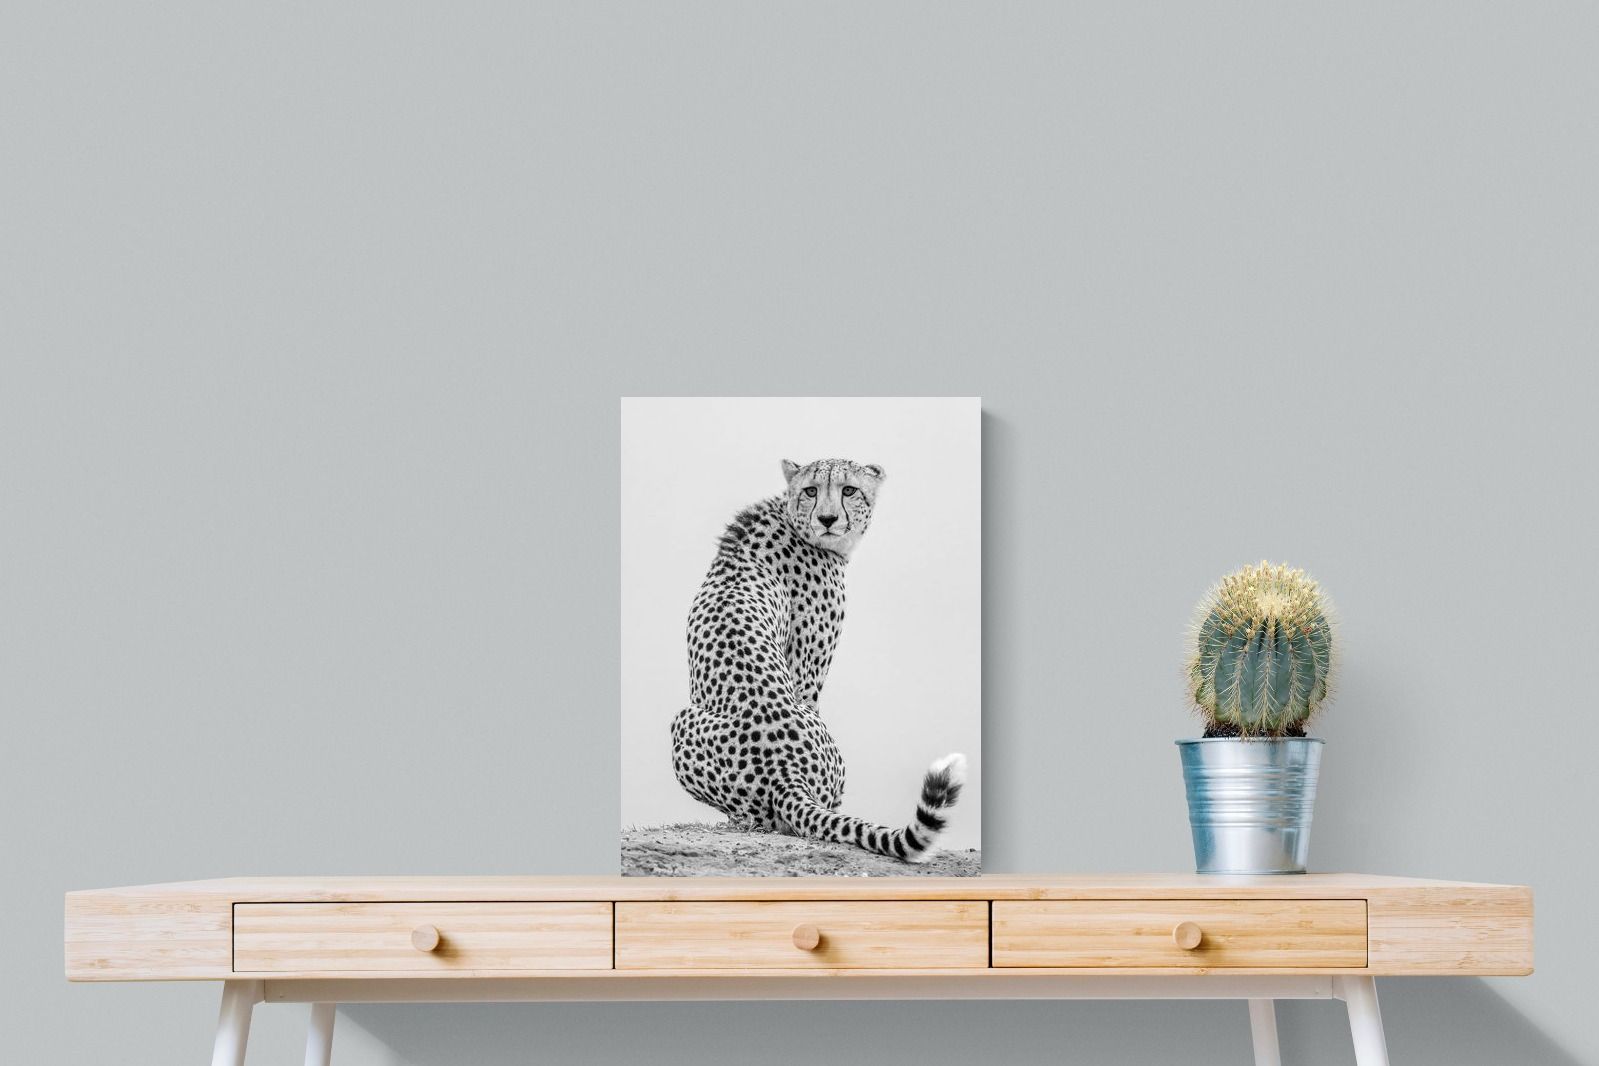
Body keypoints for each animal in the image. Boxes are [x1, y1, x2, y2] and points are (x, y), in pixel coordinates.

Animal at [669, 457, 967, 863]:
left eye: (849, 489)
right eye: (811, 490)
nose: (827, 519)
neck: (790, 518)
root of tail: (784, 772)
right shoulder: (806, 673)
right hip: (684, 720)